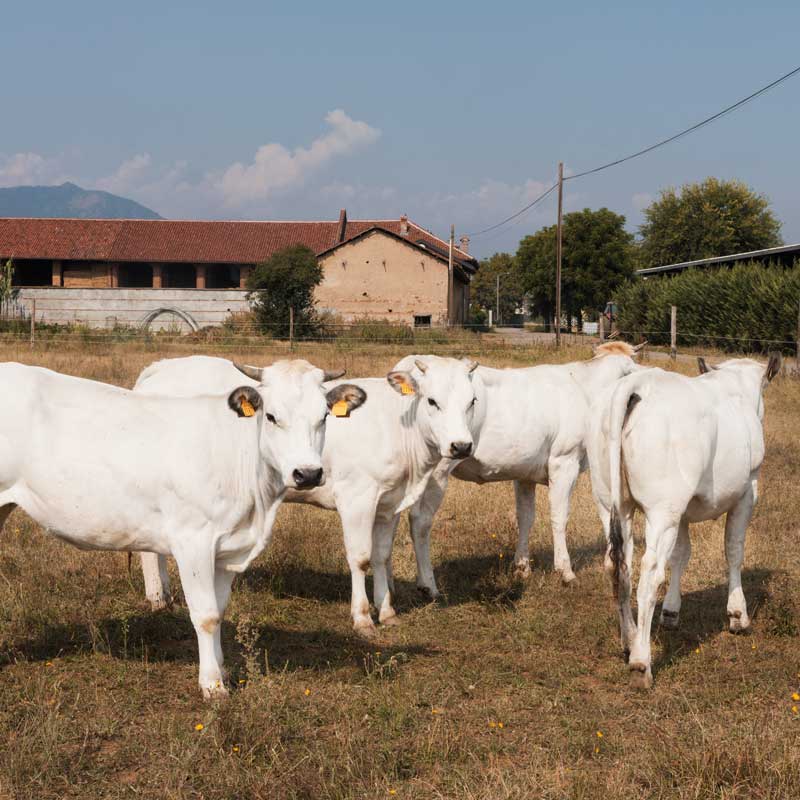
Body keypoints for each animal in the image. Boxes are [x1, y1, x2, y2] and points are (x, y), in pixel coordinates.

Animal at [0, 360, 366, 696]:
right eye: (272, 417)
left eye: (324, 417)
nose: (308, 473)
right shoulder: (194, 541)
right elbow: (205, 614)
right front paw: (213, 684)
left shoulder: (227, 549)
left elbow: (219, 610)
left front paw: (221, 668)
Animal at [135, 356, 482, 636]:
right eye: (433, 401)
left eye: (472, 401)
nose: (461, 446)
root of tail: (161, 367)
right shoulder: (357, 498)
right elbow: (361, 557)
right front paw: (362, 618)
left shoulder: (389, 504)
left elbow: (382, 555)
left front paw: (387, 611)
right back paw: (157, 598)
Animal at [404, 340, 648, 596]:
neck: (584, 390)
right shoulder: (565, 461)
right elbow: (559, 516)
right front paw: (565, 571)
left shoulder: (524, 472)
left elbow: (525, 516)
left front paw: (522, 567)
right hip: (438, 469)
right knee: (420, 520)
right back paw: (428, 585)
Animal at [588, 354, 780, 688]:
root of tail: (635, 383)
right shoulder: (748, 491)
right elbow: (734, 549)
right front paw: (737, 615)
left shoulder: (683, 510)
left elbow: (681, 554)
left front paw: (671, 612)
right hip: (662, 508)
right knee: (649, 573)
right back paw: (641, 662)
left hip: (612, 502)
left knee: (617, 566)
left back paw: (630, 640)